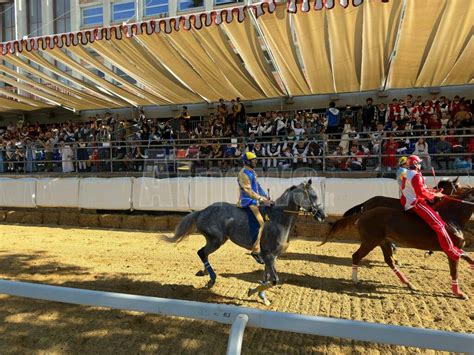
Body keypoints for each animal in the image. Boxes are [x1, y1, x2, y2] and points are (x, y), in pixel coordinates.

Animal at [164, 181, 326, 306]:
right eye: (312, 196)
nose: (323, 215)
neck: (278, 219)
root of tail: (201, 211)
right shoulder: (269, 256)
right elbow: (273, 280)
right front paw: (251, 292)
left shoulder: (271, 257)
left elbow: (266, 277)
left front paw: (263, 298)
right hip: (216, 241)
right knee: (202, 253)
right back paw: (211, 279)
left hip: (215, 240)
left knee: (203, 254)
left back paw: (206, 275)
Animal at [322, 188, 474, 298]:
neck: (451, 218)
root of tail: (364, 213)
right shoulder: (451, 250)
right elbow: (454, 271)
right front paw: (460, 293)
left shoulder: (455, 249)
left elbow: (468, 257)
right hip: (370, 241)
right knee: (356, 256)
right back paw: (355, 280)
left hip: (383, 241)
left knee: (389, 260)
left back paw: (408, 283)